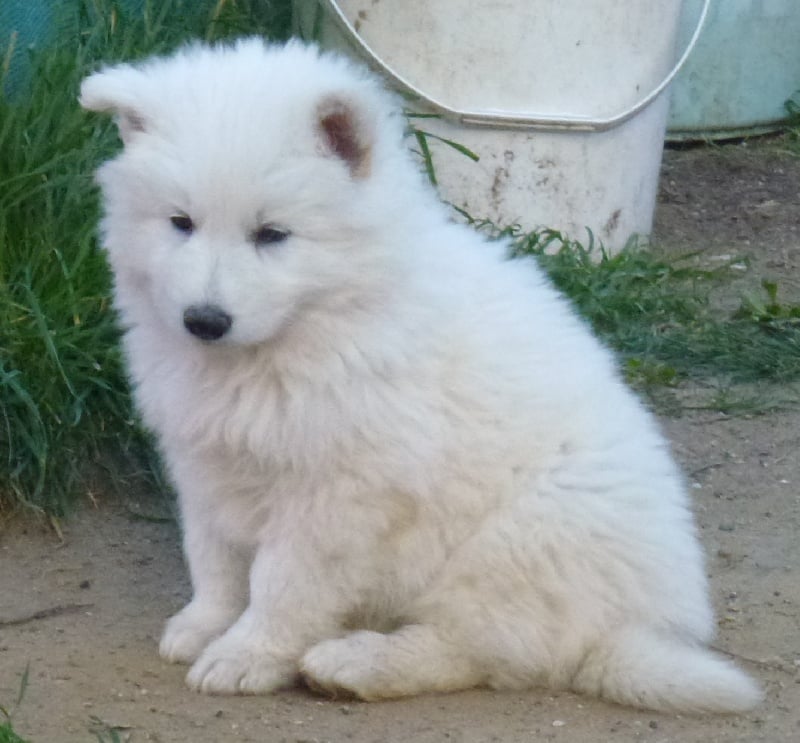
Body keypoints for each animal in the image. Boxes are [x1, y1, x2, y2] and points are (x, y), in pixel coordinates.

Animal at [81, 37, 764, 712]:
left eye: (272, 234)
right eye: (180, 223)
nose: (204, 320)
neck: (313, 328)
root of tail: (621, 633)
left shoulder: (338, 493)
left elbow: (282, 582)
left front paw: (246, 654)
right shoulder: (205, 462)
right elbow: (214, 557)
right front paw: (205, 623)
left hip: (517, 538)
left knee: (475, 650)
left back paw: (352, 663)